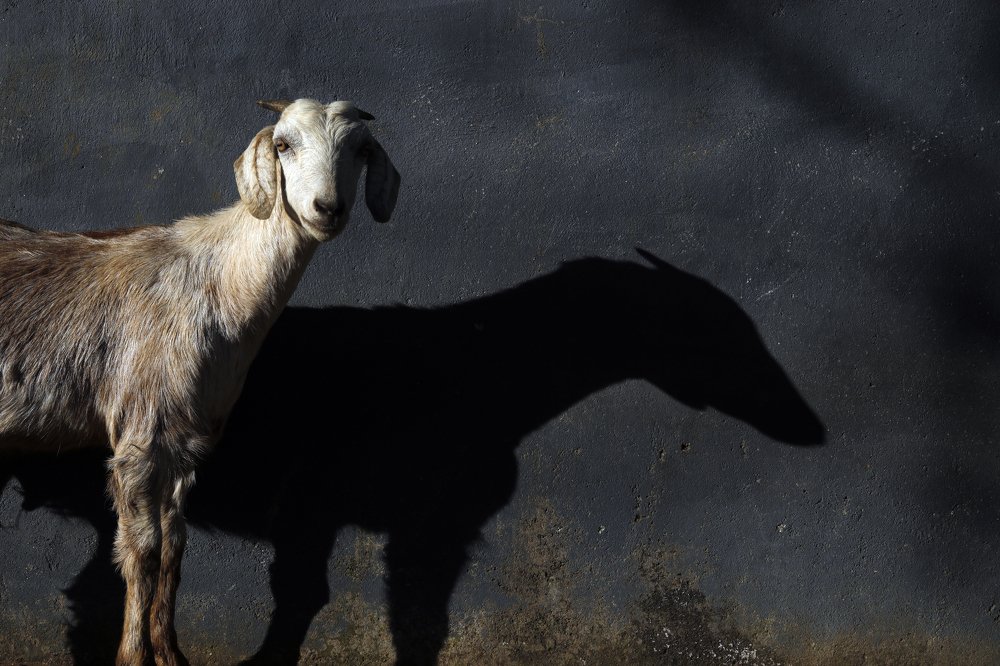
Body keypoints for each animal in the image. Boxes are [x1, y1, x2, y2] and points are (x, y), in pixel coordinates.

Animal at [0, 97, 400, 665]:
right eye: (283, 144)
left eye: (362, 150)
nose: (328, 208)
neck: (220, 282)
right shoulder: (140, 435)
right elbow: (142, 551)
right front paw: (133, 656)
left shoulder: (186, 441)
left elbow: (175, 547)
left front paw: (169, 653)